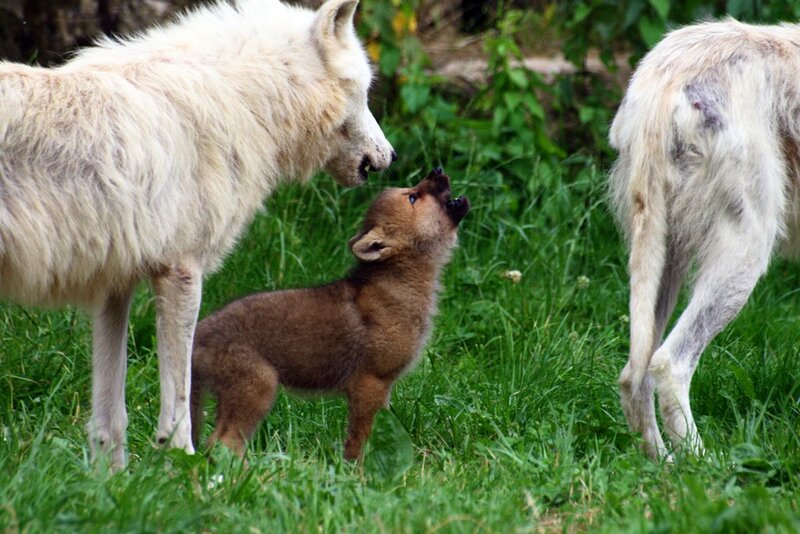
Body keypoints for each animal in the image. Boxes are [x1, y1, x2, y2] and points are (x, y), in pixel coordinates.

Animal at [0, 0, 395, 468]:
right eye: (366, 91)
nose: (389, 156)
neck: (241, 101)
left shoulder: (115, 286)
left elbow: (110, 418)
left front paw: (112, 480)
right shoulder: (182, 272)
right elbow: (178, 410)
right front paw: (183, 469)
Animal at [190, 168, 469, 459]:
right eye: (413, 197)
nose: (437, 170)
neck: (400, 282)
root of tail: (199, 337)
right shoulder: (370, 383)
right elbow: (360, 438)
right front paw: (358, 469)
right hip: (258, 387)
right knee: (223, 443)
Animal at [609, 19, 800, 458]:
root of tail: (665, 80)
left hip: (664, 258)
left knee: (634, 374)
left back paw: (661, 461)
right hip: (745, 255)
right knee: (669, 364)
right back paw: (704, 462)